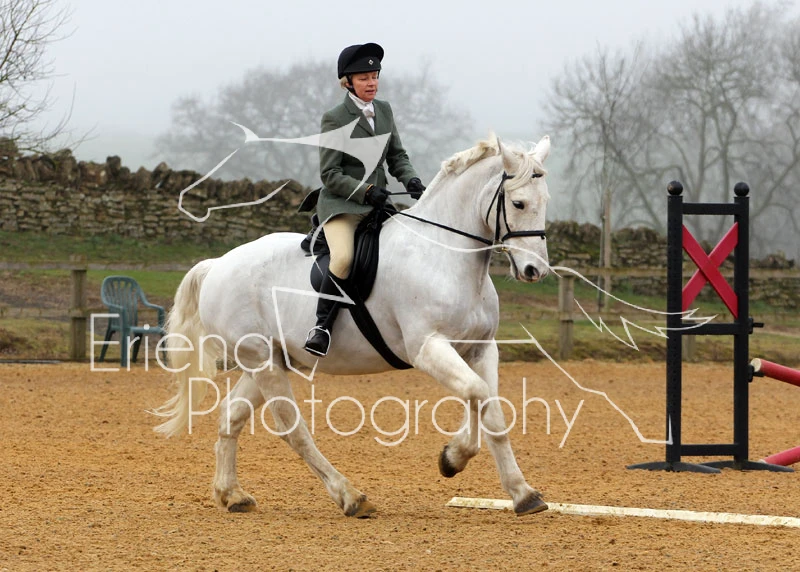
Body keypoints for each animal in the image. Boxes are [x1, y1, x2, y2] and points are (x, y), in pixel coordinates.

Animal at [153, 134, 552, 517]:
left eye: (546, 200)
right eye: (518, 204)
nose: (535, 271)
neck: (442, 253)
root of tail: (217, 264)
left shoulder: (481, 349)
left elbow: (491, 410)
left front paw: (521, 493)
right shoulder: (428, 348)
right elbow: (476, 394)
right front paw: (454, 458)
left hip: (269, 359)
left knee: (230, 416)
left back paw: (231, 495)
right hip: (261, 360)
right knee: (293, 429)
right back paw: (351, 497)